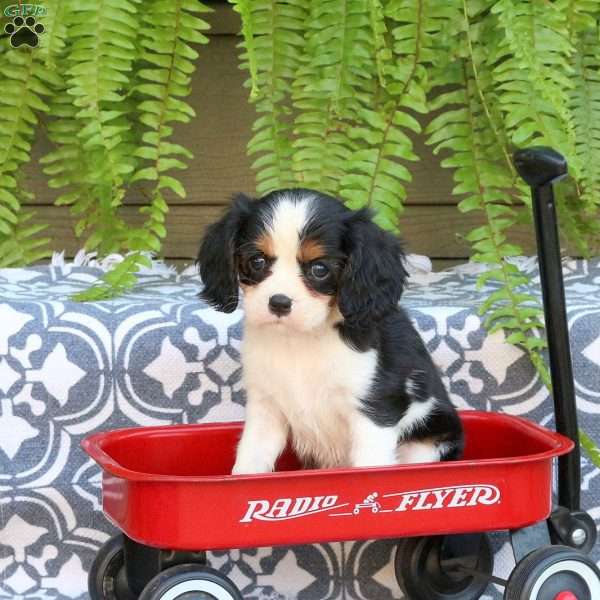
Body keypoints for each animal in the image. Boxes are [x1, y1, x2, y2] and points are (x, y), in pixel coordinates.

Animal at [198, 189, 464, 474]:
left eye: (319, 269)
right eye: (257, 261)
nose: (278, 302)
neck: (300, 338)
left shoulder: (374, 408)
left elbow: (370, 463)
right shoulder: (265, 406)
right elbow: (251, 457)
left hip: (426, 443)